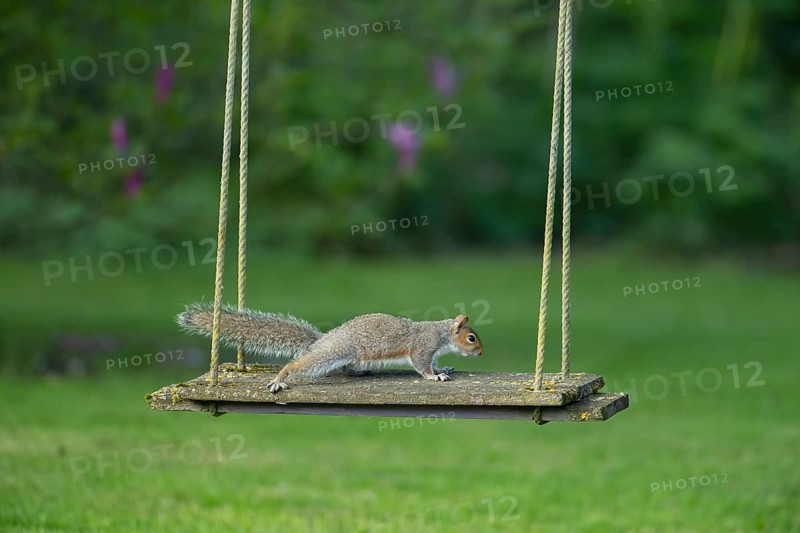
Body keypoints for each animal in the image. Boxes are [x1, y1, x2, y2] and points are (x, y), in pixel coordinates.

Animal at [177, 303, 484, 393]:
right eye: (471, 338)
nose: (481, 353)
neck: (440, 333)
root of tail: (322, 340)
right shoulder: (422, 347)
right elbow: (422, 365)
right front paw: (435, 376)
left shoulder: (432, 351)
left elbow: (434, 362)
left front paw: (443, 368)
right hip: (335, 352)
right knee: (298, 364)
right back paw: (279, 379)